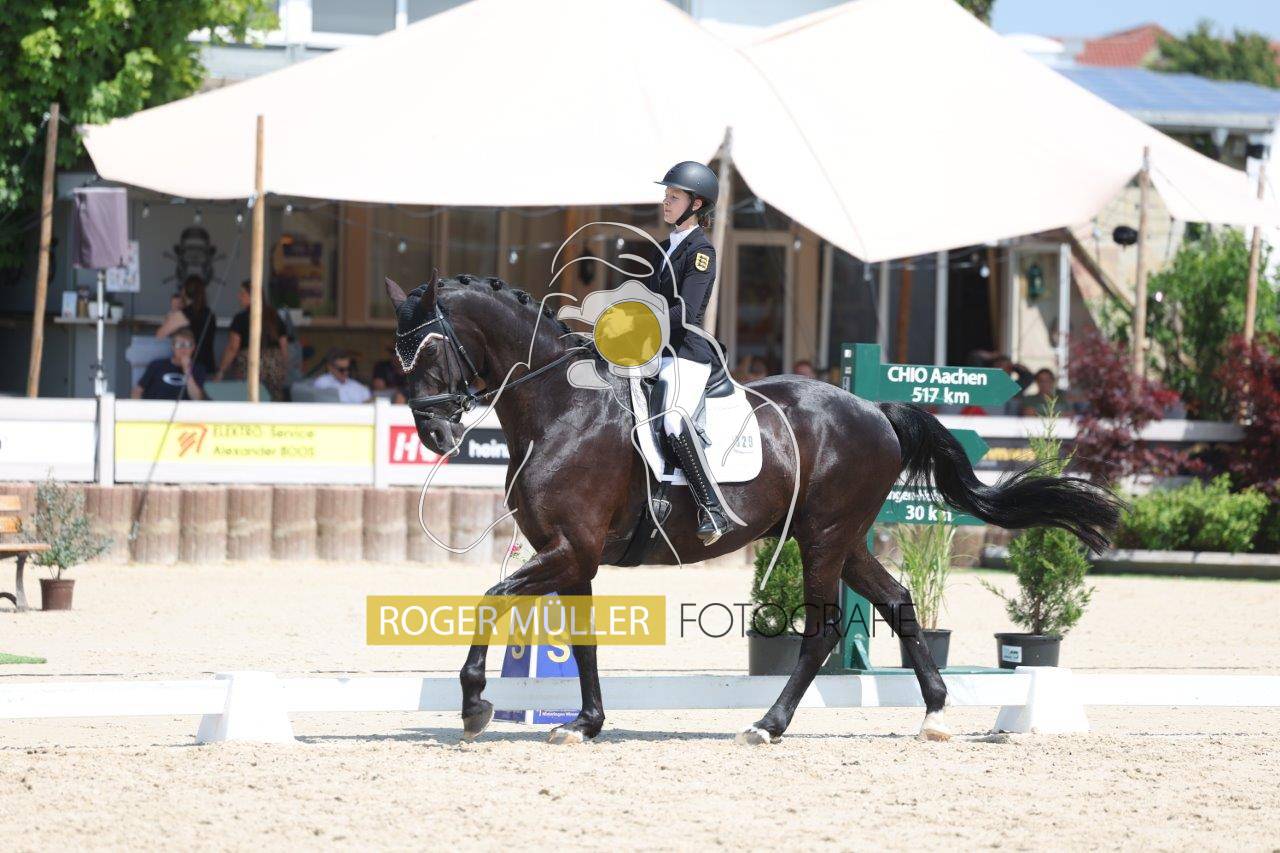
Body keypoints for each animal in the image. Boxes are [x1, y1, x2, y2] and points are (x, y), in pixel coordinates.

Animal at [384, 271, 1123, 745]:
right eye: (398, 352)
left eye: (430, 345)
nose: (435, 433)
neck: (559, 407)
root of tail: (875, 409)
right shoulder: (573, 558)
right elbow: (584, 642)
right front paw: (584, 724)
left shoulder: (570, 550)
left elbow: (489, 598)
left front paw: (475, 703)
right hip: (842, 537)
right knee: (899, 602)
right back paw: (935, 715)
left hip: (822, 537)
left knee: (821, 632)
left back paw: (767, 725)